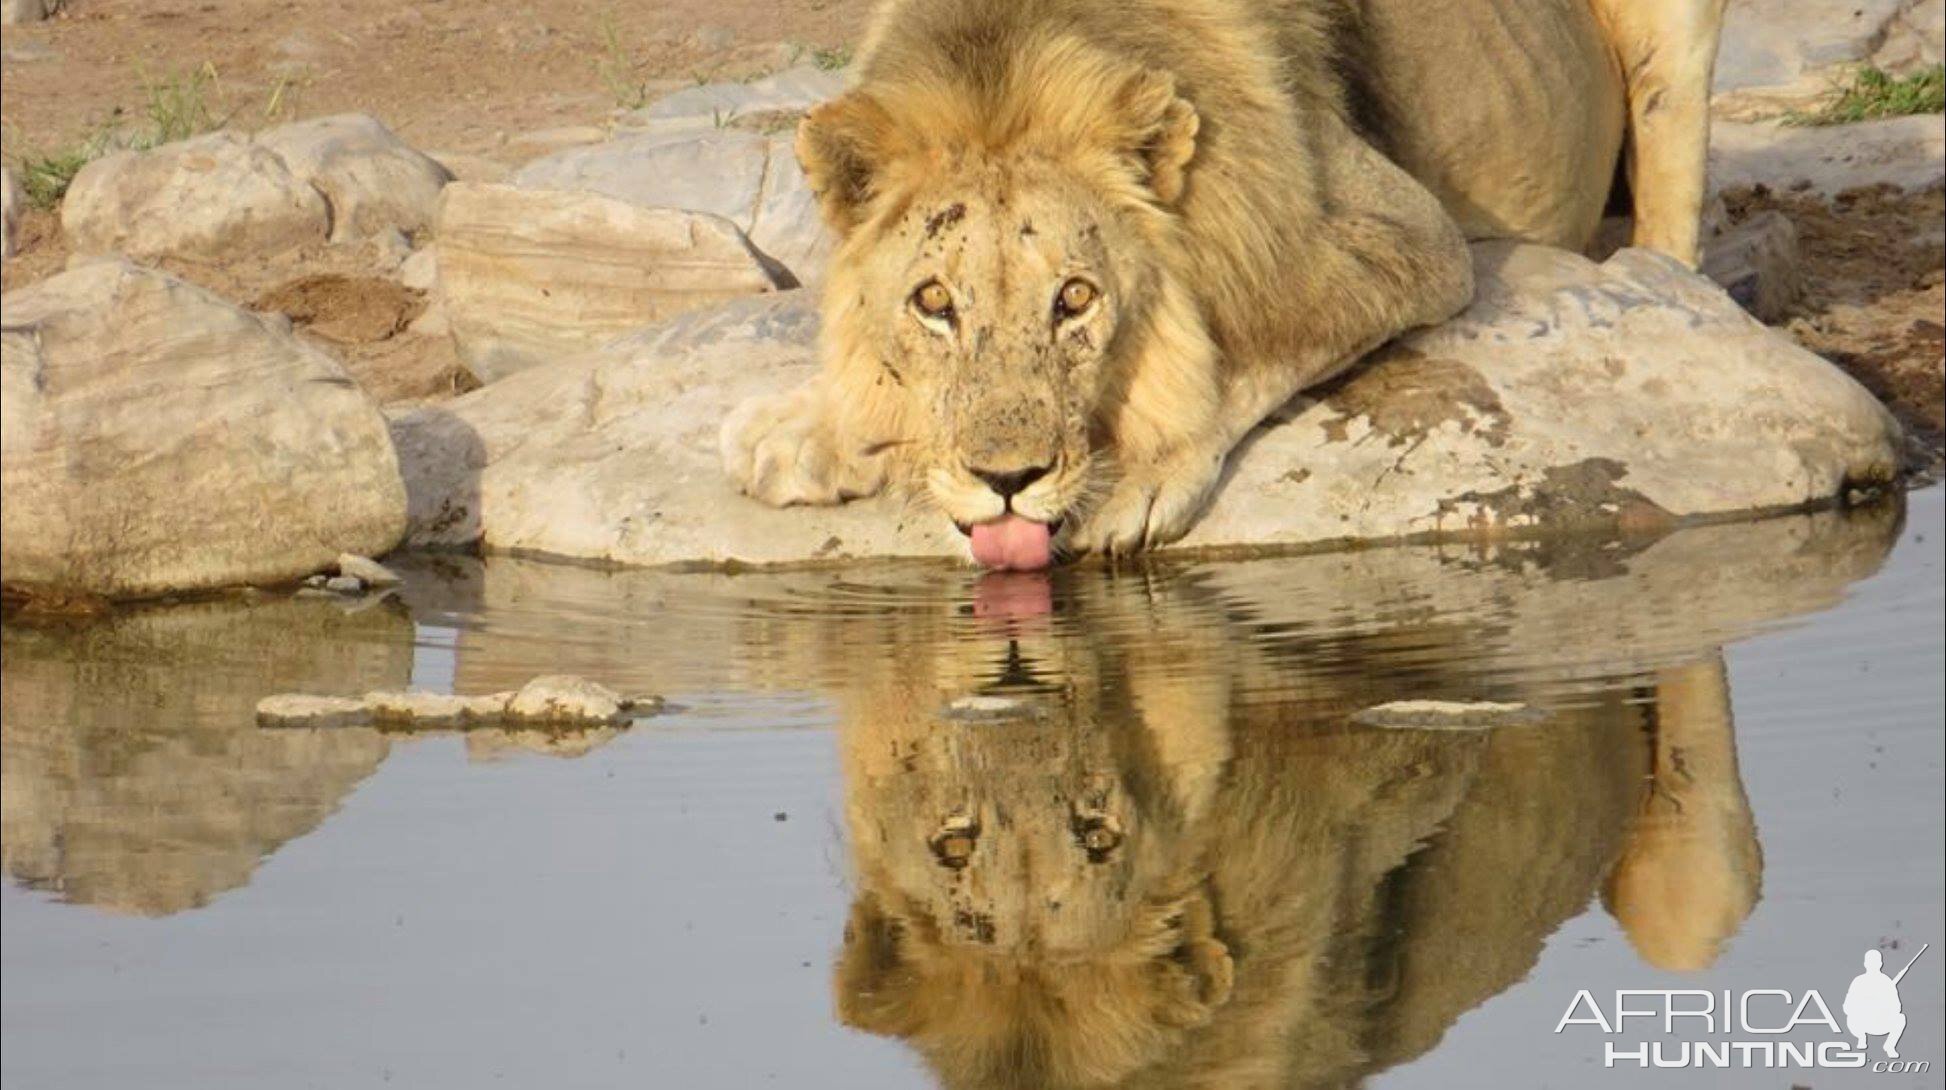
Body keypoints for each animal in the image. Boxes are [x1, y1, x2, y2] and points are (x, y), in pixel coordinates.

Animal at [723, 2, 1728, 572]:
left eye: (1076, 299)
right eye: (934, 302)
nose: (1007, 482)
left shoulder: (1412, 233)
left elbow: (1256, 339)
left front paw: (1143, 474)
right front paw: (808, 429)